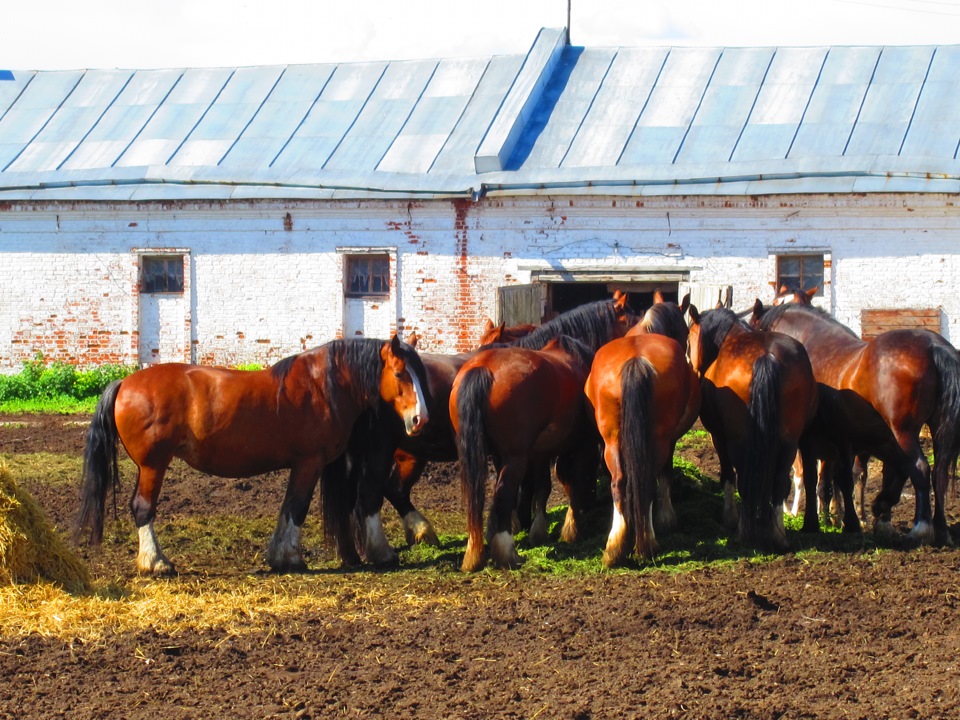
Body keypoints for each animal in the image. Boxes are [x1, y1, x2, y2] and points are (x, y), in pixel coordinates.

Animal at [76, 334, 432, 576]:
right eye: (400, 374)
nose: (420, 419)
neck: (324, 385)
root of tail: (124, 383)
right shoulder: (310, 462)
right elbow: (297, 507)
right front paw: (290, 557)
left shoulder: (302, 465)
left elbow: (288, 506)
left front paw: (279, 555)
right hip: (153, 465)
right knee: (143, 508)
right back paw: (156, 562)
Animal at [452, 334, 600, 572]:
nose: (591, 504)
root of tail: (482, 368)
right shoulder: (582, 445)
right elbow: (573, 482)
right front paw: (571, 529)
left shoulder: (539, 453)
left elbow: (543, 487)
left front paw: (538, 531)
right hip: (516, 458)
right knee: (503, 494)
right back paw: (508, 555)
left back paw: (474, 554)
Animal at [584, 334, 696, 564]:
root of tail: (635, 360)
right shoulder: (669, 441)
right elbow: (666, 474)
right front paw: (667, 518)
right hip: (659, 439)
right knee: (647, 481)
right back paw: (648, 544)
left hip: (612, 439)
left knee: (619, 482)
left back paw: (615, 548)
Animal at [688, 306, 816, 552]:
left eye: (689, 338)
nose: (694, 370)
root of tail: (766, 356)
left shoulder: (719, 437)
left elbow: (728, 476)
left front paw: (730, 518)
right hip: (788, 442)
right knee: (779, 482)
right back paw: (778, 535)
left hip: (739, 440)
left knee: (744, 481)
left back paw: (743, 533)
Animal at [752, 300, 960, 544]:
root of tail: (933, 346)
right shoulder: (845, 440)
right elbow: (842, 479)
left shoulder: (811, 437)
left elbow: (816, 479)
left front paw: (815, 522)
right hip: (934, 428)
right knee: (937, 472)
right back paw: (938, 528)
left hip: (903, 431)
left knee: (919, 468)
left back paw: (920, 527)